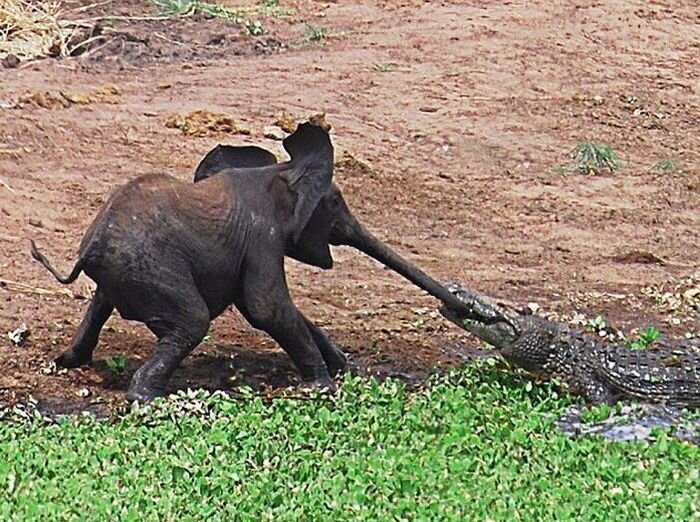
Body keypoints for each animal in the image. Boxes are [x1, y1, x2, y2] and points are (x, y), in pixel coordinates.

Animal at [31, 124, 346, 400]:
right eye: (334, 202)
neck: (278, 171)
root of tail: (93, 244)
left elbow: (261, 306)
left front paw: (342, 366)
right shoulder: (262, 236)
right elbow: (265, 307)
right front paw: (323, 388)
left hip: (124, 271)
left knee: (101, 306)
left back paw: (68, 362)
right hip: (153, 269)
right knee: (193, 322)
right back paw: (145, 397)